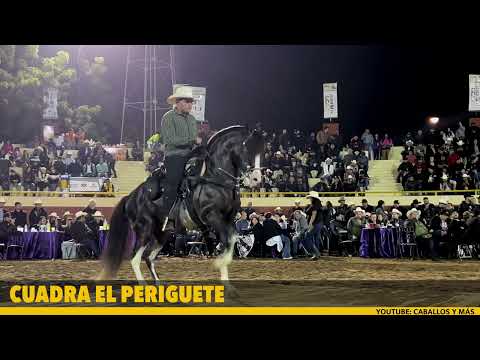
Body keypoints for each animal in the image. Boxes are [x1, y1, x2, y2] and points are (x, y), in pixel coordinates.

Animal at [101, 125, 264, 282]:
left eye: (262, 151)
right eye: (247, 147)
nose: (256, 179)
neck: (216, 180)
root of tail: (131, 197)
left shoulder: (229, 220)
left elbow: (232, 241)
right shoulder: (212, 216)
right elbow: (226, 243)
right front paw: (219, 263)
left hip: (162, 233)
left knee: (148, 257)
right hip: (145, 230)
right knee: (135, 259)